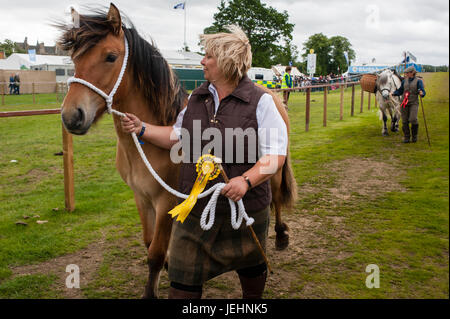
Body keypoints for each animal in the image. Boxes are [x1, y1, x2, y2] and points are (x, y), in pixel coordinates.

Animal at [58, 3, 298, 298]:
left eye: (110, 57)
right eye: (74, 58)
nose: (72, 116)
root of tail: (274, 95)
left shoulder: (165, 200)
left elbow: (155, 253)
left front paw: (151, 290)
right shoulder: (142, 197)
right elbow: (149, 242)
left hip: (273, 172)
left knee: (275, 200)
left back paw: (281, 235)